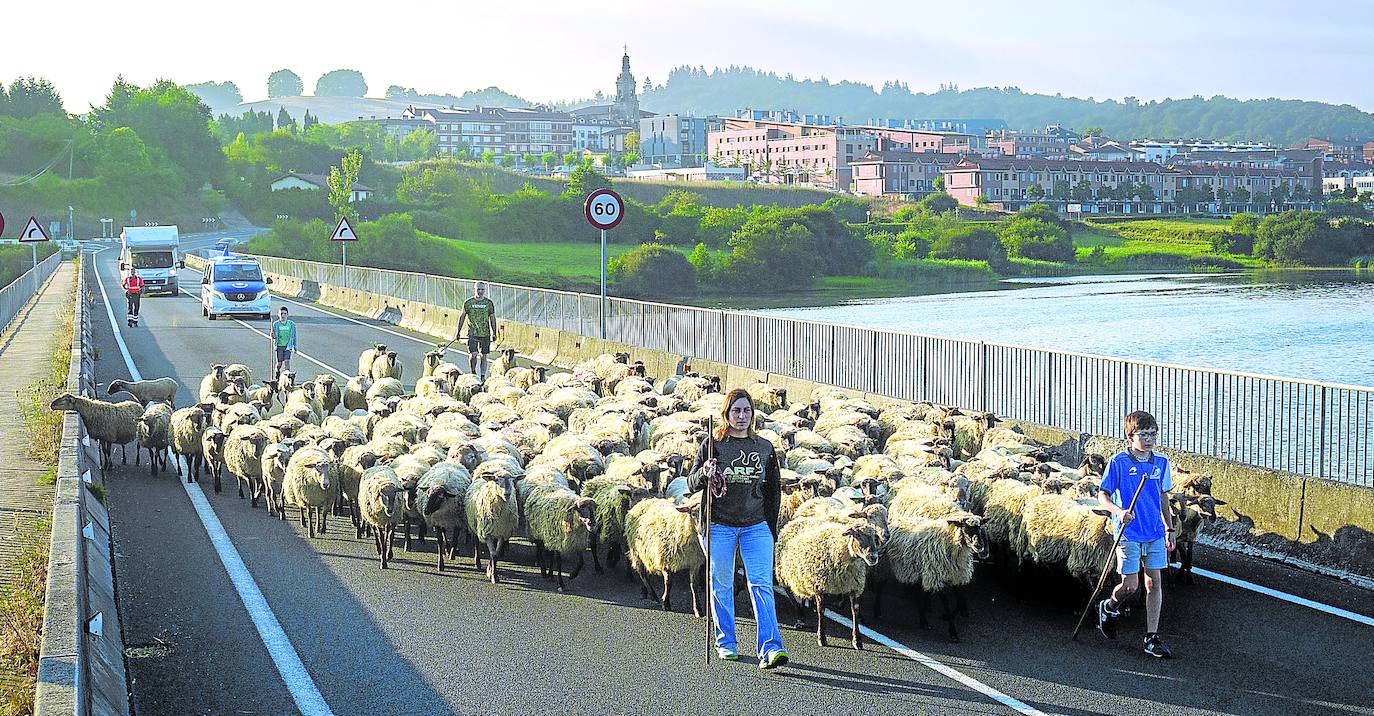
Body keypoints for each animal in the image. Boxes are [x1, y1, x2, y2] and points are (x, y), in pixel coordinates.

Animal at [774, 516, 879, 651]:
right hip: (785, 575)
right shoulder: (819, 586)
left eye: (874, 538)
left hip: (802, 577)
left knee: (802, 595)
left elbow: (855, 610)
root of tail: (796, 520)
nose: (873, 557)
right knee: (792, 596)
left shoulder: (854, 587)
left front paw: (857, 640)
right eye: (858, 536)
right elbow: (821, 610)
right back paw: (800, 617)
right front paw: (822, 638)